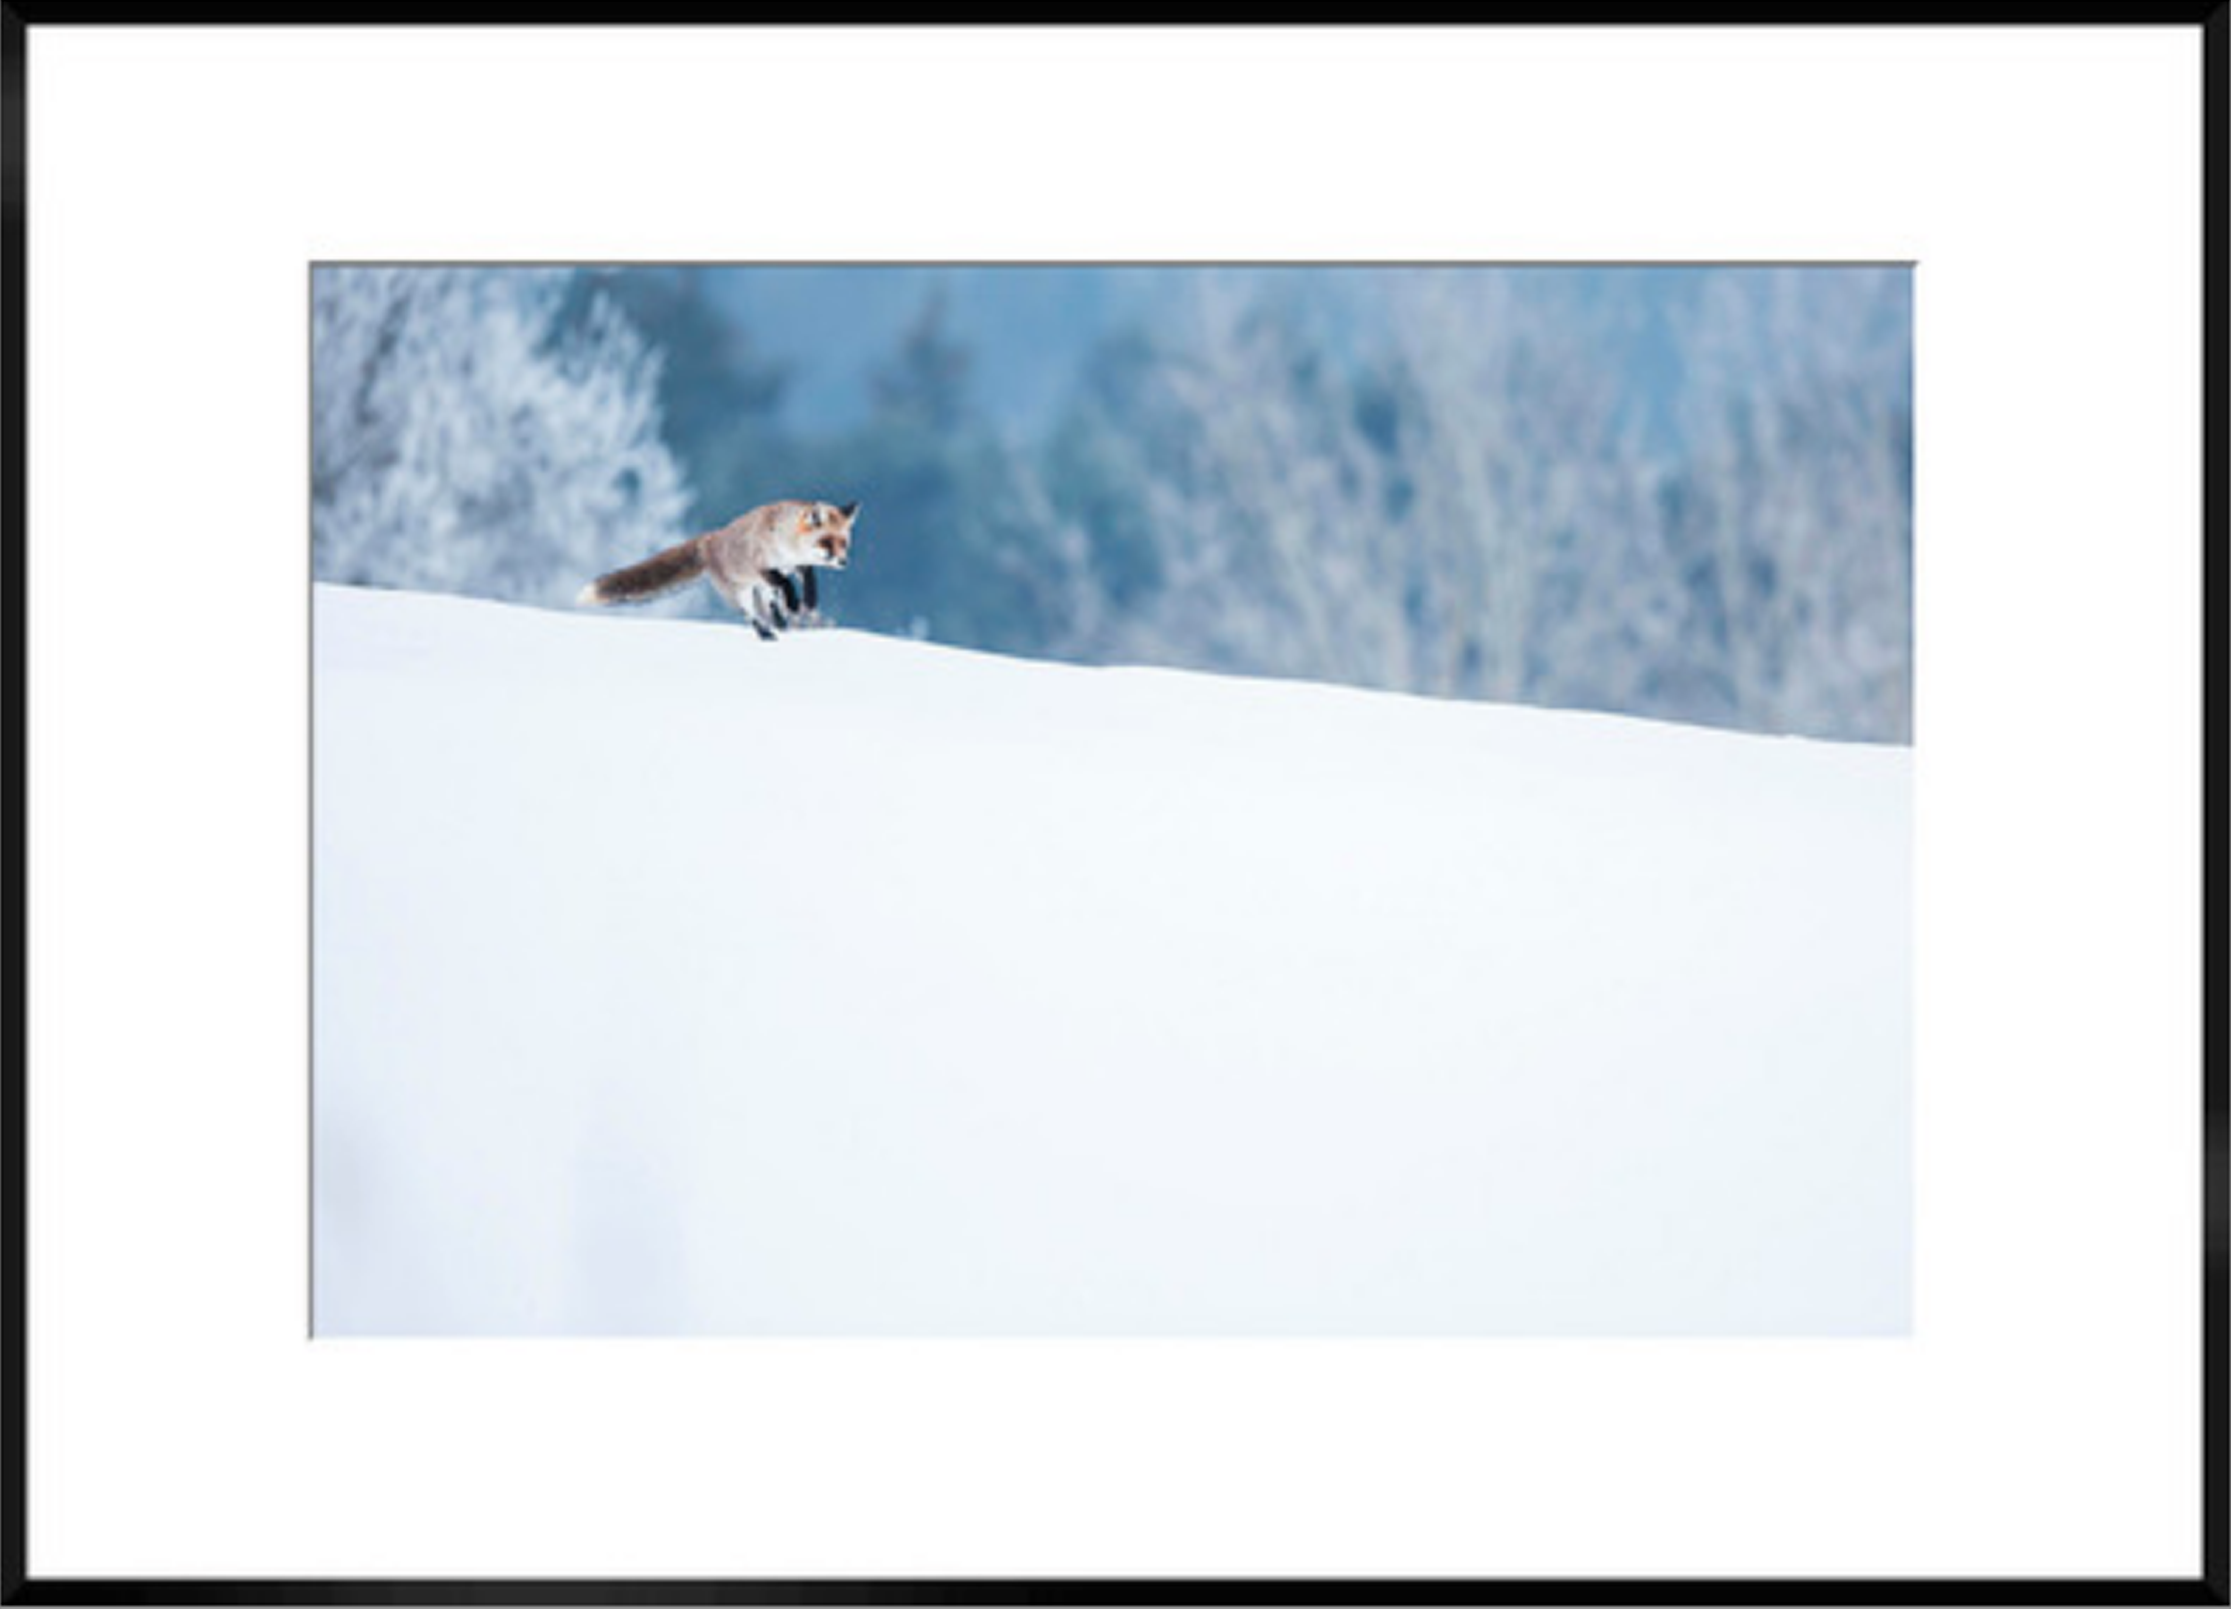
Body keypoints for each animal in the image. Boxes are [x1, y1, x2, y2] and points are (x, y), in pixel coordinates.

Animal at [580, 499, 856, 638]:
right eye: (826, 542)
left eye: (844, 543)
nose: (843, 562)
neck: (786, 543)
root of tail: (710, 538)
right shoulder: (763, 566)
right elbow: (785, 584)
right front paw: (795, 602)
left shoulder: (794, 565)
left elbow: (808, 579)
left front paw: (806, 601)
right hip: (741, 592)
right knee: (751, 615)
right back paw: (766, 633)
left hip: (759, 588)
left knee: (771, 605)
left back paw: (781, 622)